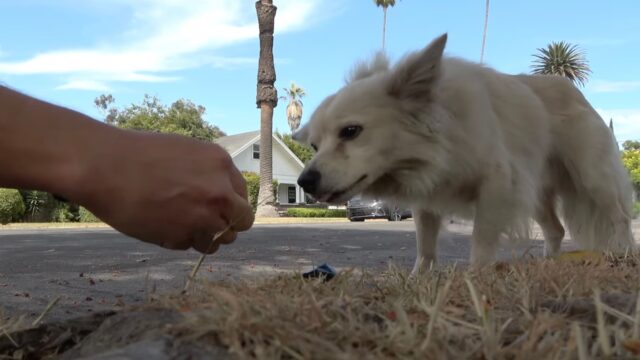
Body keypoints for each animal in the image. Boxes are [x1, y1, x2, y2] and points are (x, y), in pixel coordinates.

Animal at [296, 34, 636, 272]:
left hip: (592, 178)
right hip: (535, 192)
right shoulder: (427, 198)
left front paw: (476, 277)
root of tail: (575, 93)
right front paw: (419, 280)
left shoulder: (497, 187)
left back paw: (625, 253)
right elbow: (425, 248)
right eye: (314, 145)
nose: (304, 182)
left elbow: (481, 241)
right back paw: (548, 264)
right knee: (555, 229)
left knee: (619, 216)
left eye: (350, 131)